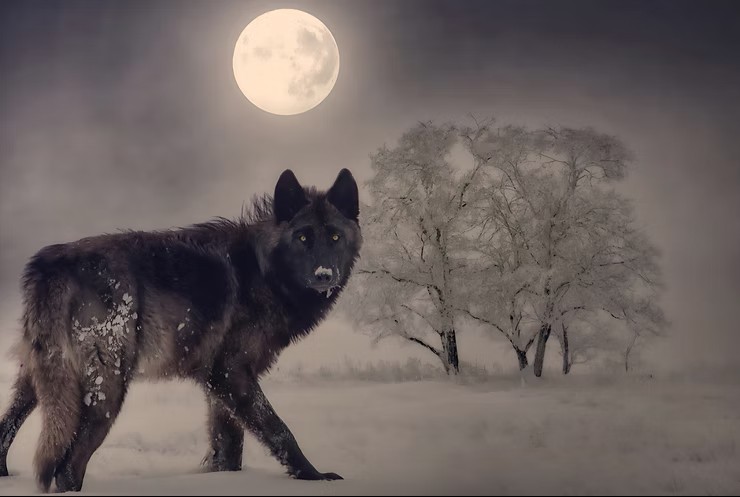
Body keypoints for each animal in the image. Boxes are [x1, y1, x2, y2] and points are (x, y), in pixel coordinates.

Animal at [0, 168, 361, 492]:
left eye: (335, 237)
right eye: (303, 237)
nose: (324, 274)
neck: (263, 271)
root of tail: (50, 265)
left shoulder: (218, 386)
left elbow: (228, 447)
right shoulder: (231, 373)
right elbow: (279, 430)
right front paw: (315, 477)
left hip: (38, 382)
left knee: (7, 429)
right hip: (107, 392)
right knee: (67, 467)